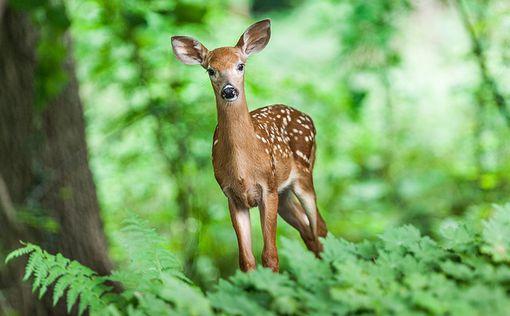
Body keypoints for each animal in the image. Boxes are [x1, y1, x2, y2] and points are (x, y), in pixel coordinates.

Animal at [171, 19, 326, 272]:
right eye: (210, 70)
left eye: (241, 65)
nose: (229, 90)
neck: (243, 168)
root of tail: (307, 117)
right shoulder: (232, 196)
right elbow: (246, 260)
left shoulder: (267, 188)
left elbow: (270, 256)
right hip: (284, 194)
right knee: (308, 231)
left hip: (303, 174)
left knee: (319, 227)